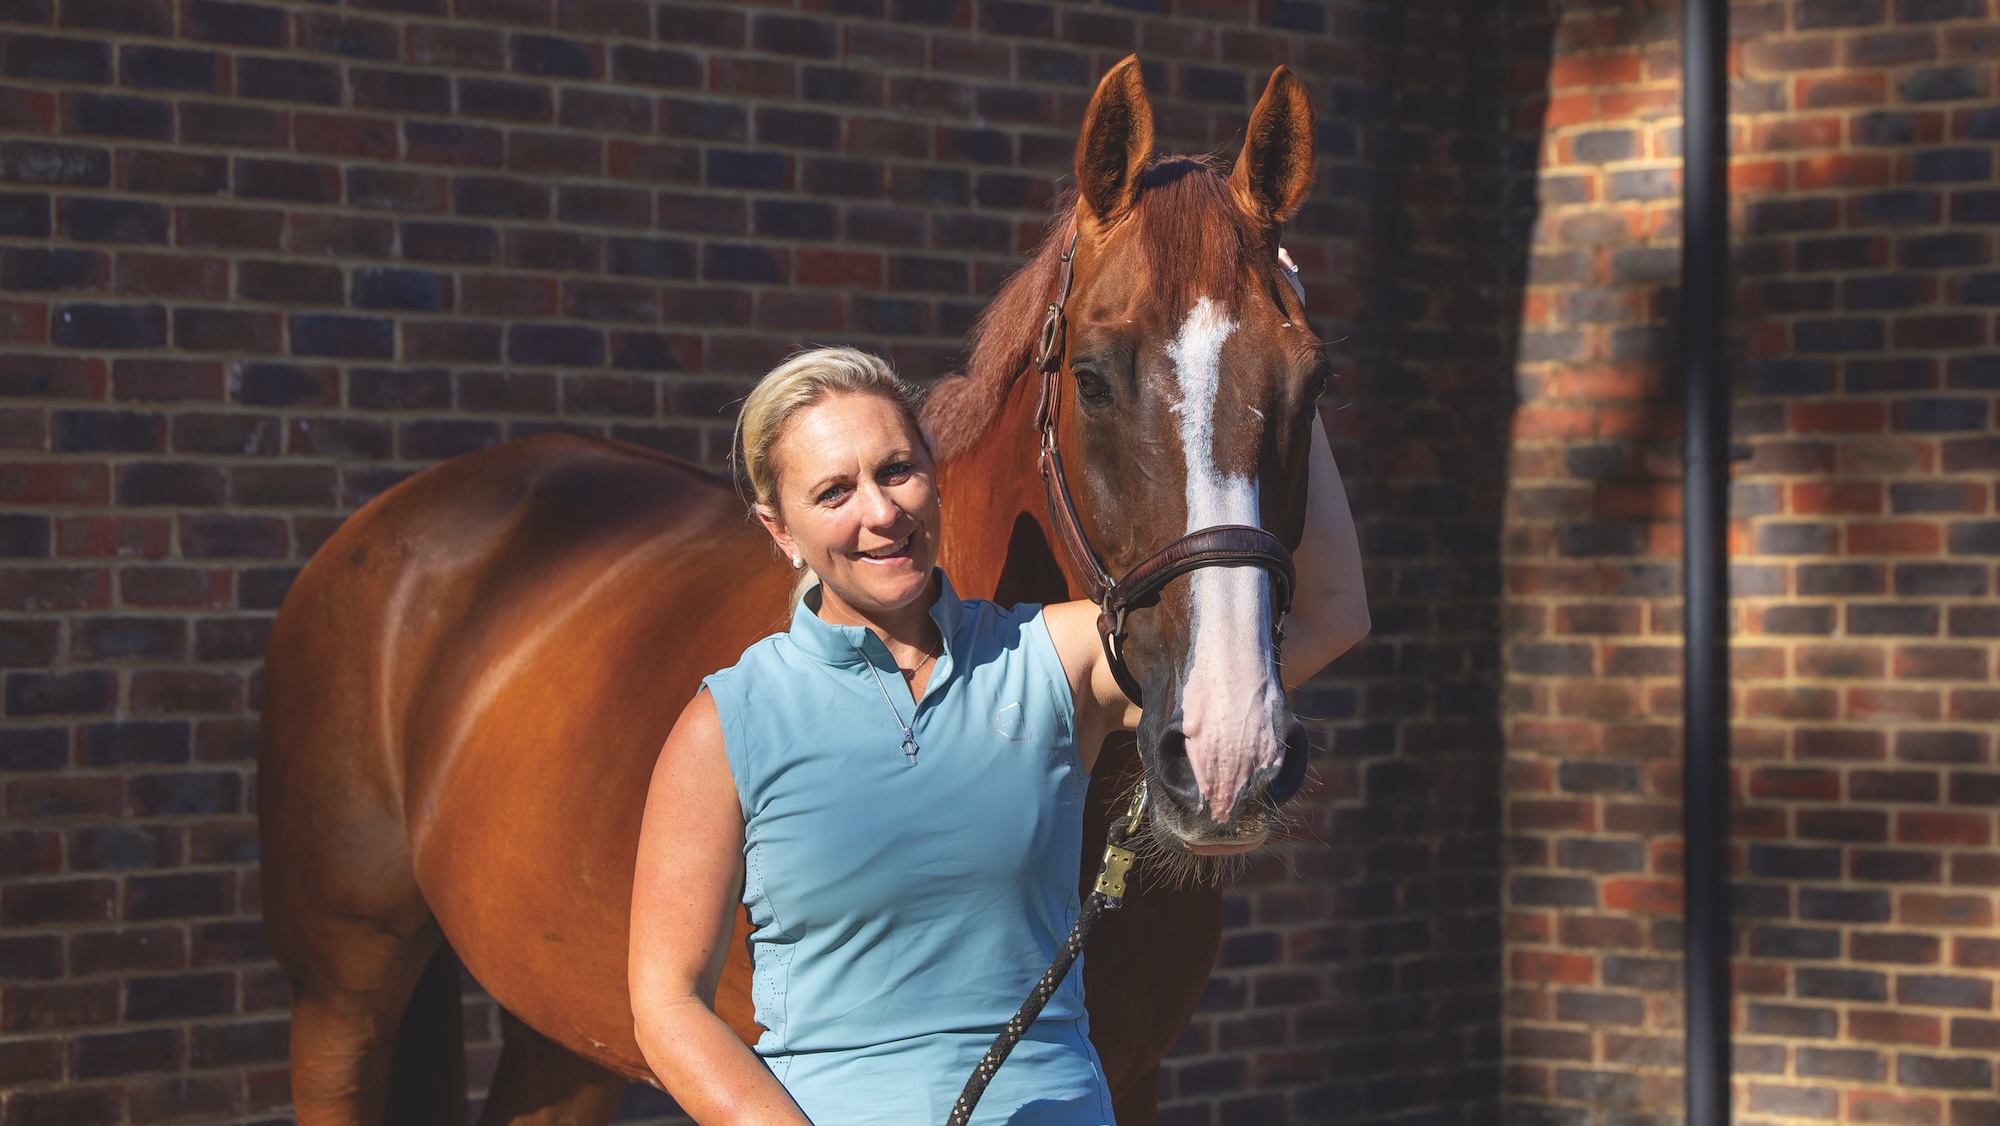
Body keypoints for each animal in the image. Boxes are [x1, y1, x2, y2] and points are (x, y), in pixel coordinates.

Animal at [258, 55, 1321, 1126]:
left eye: (1310, 383)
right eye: (1094, 378)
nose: (1230, 749)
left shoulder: (1132, 1080)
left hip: (564, 1024)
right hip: (343, 991)